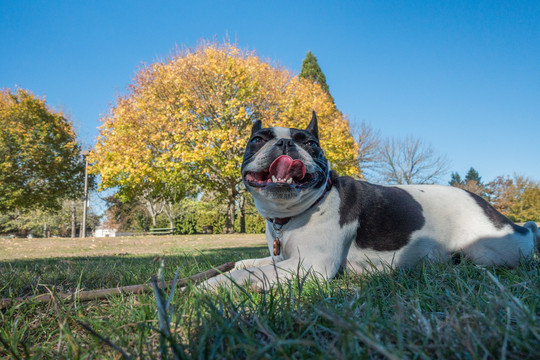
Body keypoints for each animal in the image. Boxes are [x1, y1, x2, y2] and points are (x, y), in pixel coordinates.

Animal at [204, 112, 540, 290]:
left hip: (491, 250)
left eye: (311, 144)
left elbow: (249, 272)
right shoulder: (285, 258)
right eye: (257, 140)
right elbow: (252, 263)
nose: (285, 143)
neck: (291, 215)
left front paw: (210, 285)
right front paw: (229, 269)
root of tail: (512, 223)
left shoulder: (312, 264)